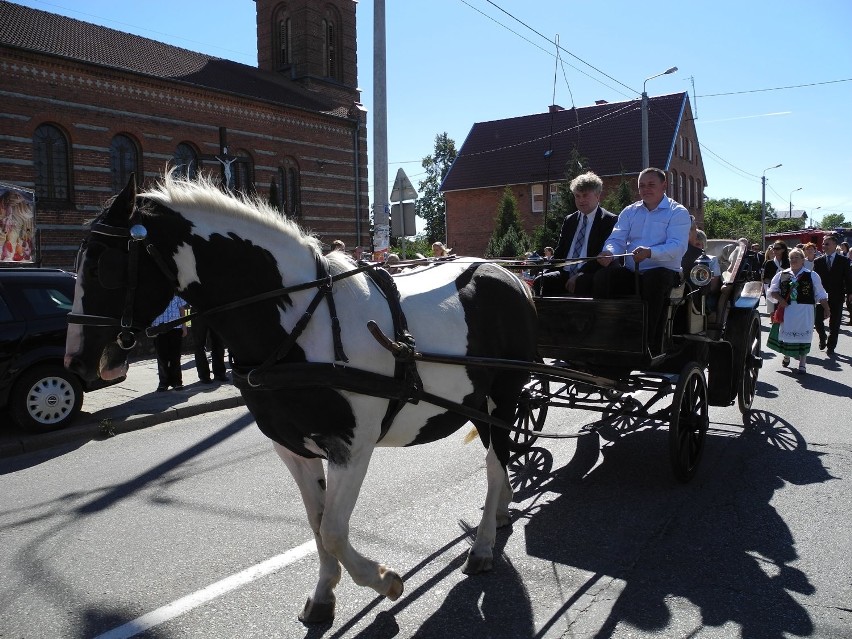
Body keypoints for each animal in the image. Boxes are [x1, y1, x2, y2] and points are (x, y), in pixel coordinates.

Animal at [65, 172, 540, 624]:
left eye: (104, 264)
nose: (77, 363)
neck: (300, 323)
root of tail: (508, 274)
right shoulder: (291, 447)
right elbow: (316, 524)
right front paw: (324, 595)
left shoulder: (351, 447)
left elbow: (333, 529)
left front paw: (382, 579)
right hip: (478, 405)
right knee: (496, 461)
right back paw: (501, 511)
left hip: (504, 398)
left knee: (495, 464)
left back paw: (483, 545)